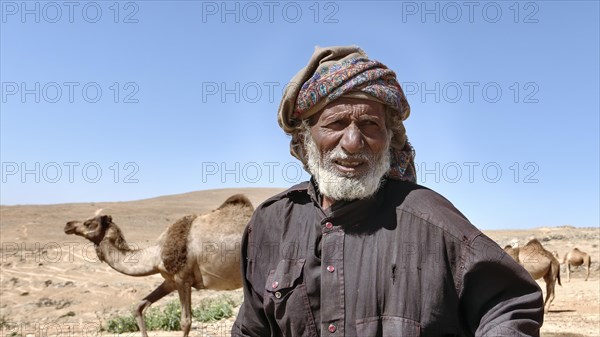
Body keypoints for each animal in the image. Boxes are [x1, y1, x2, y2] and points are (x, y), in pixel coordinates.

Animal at [63, 194, 253, 336]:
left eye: (88, 223)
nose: (68, 225)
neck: (156, 254)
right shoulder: (170, 281)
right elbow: (139, 307)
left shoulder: (183, 278)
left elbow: (185, 322)